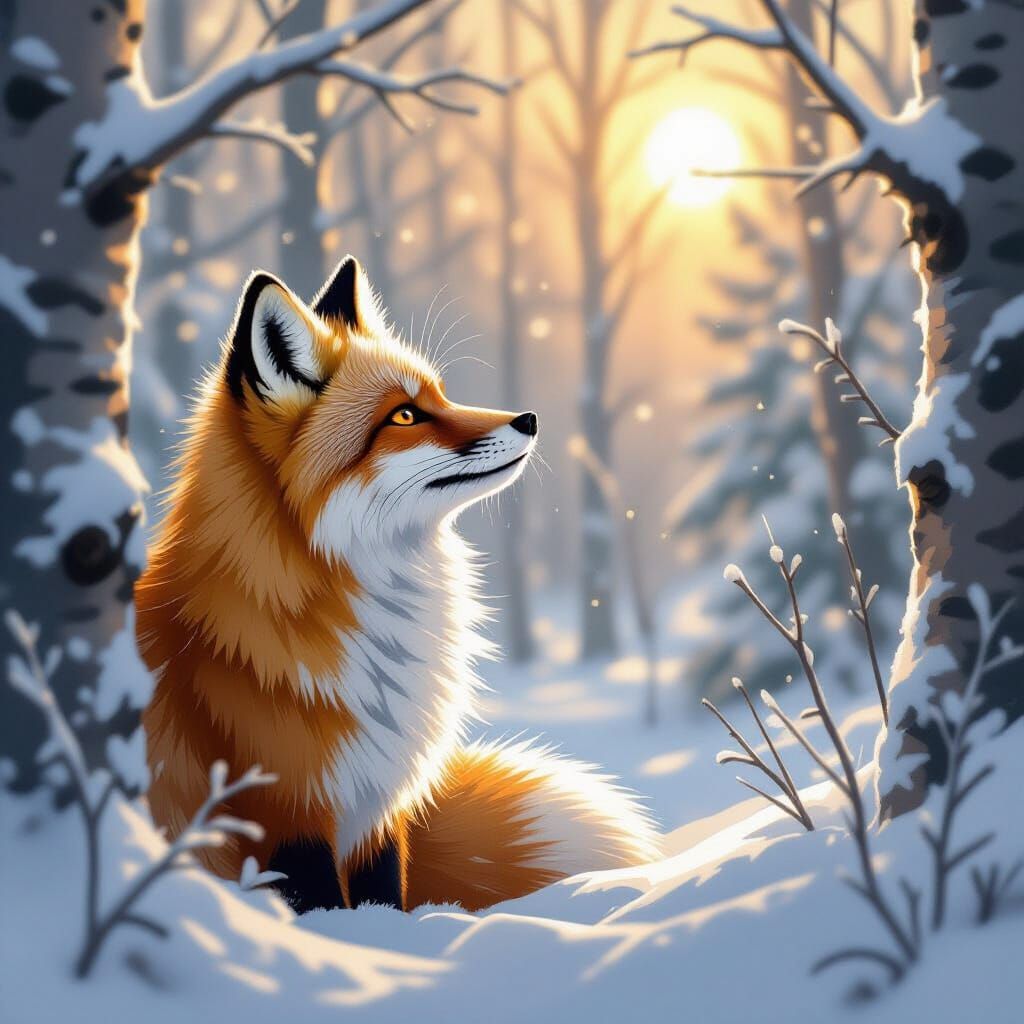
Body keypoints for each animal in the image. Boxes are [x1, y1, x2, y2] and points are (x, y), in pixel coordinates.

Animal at [136, 255, 659, 913]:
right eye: (404, 415)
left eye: (440, 393)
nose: (530, 418)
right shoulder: (284, 812)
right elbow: (323, 906)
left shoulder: (380, 806)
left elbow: (385, 895)